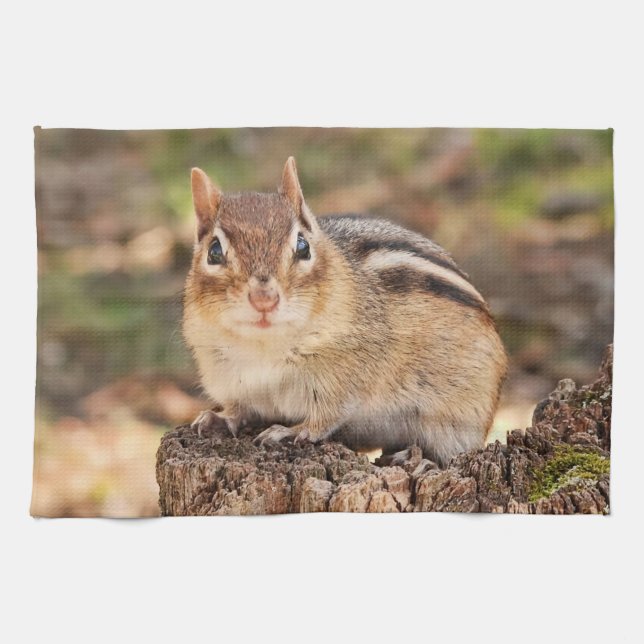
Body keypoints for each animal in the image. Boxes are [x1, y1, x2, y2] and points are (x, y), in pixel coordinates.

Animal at [183, 157, 507, 467]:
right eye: (214, 251)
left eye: (303, 246)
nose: (264, 299)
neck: (264, 347)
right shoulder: (231, 379)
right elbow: (241, 407)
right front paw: (220, 417)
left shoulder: (344, 376)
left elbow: (327, 415)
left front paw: (291, 431)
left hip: (457, 420)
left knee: (450, 453)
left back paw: (420, 459)